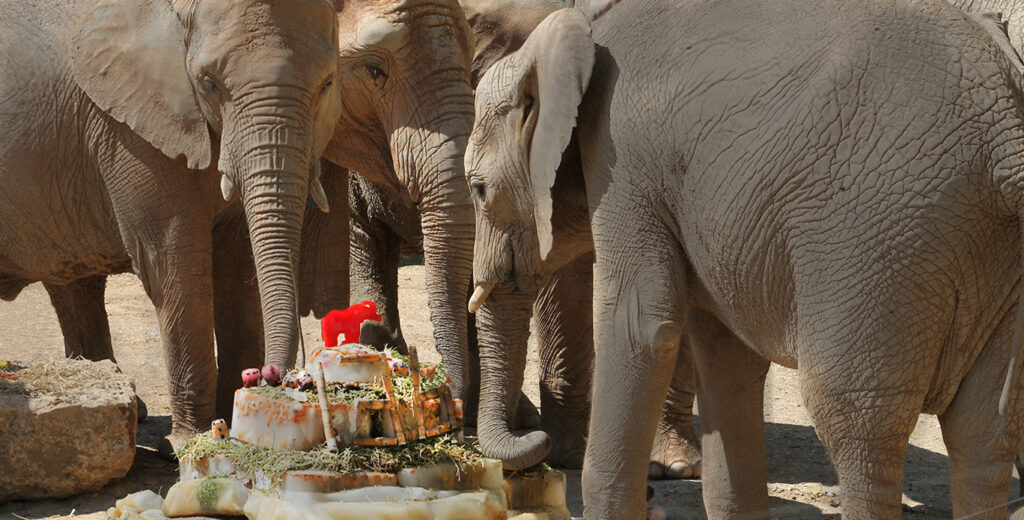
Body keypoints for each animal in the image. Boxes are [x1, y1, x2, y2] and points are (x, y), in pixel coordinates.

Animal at [0, 0, 344, 450]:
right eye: (208, 83)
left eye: (327, 84)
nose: (272, 375)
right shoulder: (132, 135)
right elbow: (175, 265)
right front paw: (186, 444)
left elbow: (237, 266)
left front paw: (233, 426)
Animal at [468, 2, 1024, 517]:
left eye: (478, 191)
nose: (533, 441)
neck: (577, 27)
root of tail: (1005, 138)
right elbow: (723, 350)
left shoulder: (621, 159)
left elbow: (642, 324)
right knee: (986, 431)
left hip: (880, 245)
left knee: (858, 425)